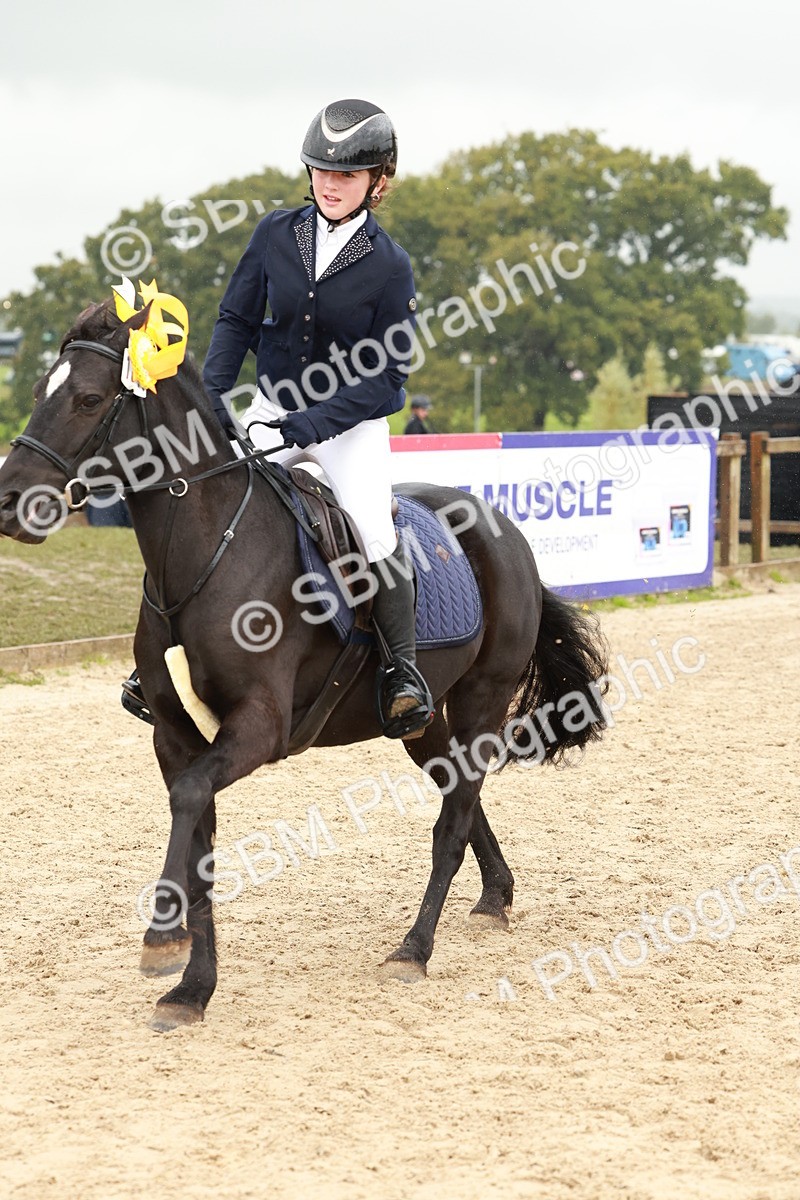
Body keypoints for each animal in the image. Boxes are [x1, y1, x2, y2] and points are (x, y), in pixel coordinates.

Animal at [0, 298, 609, 1031]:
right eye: (41, 391)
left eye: (89, 399)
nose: (8, 502)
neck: (206, 550)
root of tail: (504, 529)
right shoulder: (175, 736)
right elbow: (196, 834)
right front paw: (190, 982)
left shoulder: (258, 727)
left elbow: (190, 803)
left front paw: (162, 943)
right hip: (422, 721)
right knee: (458, 791)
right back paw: (496, 895)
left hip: (483, 700)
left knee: (453, 821)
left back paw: (414, 949)